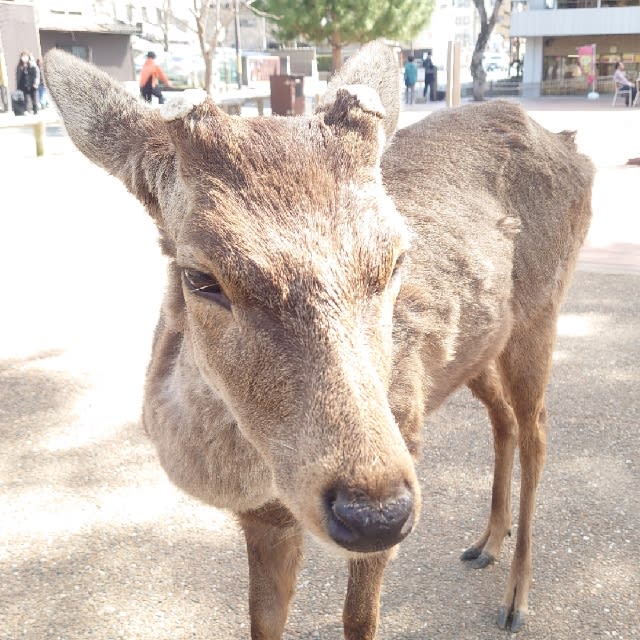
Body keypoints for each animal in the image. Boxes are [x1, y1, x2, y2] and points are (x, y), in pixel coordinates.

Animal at [44, 41, 594, 638]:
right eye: (200, 277)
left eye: (396, 259)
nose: (376, 513)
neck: (254, 477)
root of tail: (573, 149)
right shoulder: (263, 520)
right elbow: (263, 620)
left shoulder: (406, 430)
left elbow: (358, 619)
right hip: (478, 347)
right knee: (504, 419)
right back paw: (486, 543)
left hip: (542, 309)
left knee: (538, 428)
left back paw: (516, 597)